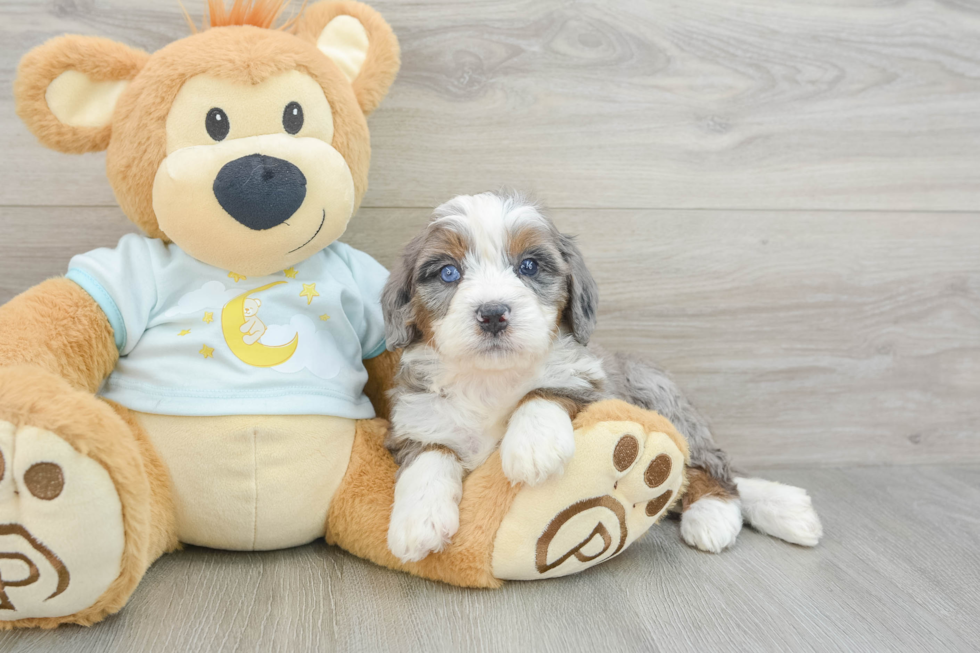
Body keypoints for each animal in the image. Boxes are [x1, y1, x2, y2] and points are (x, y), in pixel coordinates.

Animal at [378, 192, 824, 560]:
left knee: (713, 469)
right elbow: (430, 455)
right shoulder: (415, 419)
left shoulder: (595, 384)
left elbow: (547, 389)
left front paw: (533, 447)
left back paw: (715, 515)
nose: (492, 314)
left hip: (659, 395)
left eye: (529, 266)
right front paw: (416, 523)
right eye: (448, 273)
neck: (490, 380)